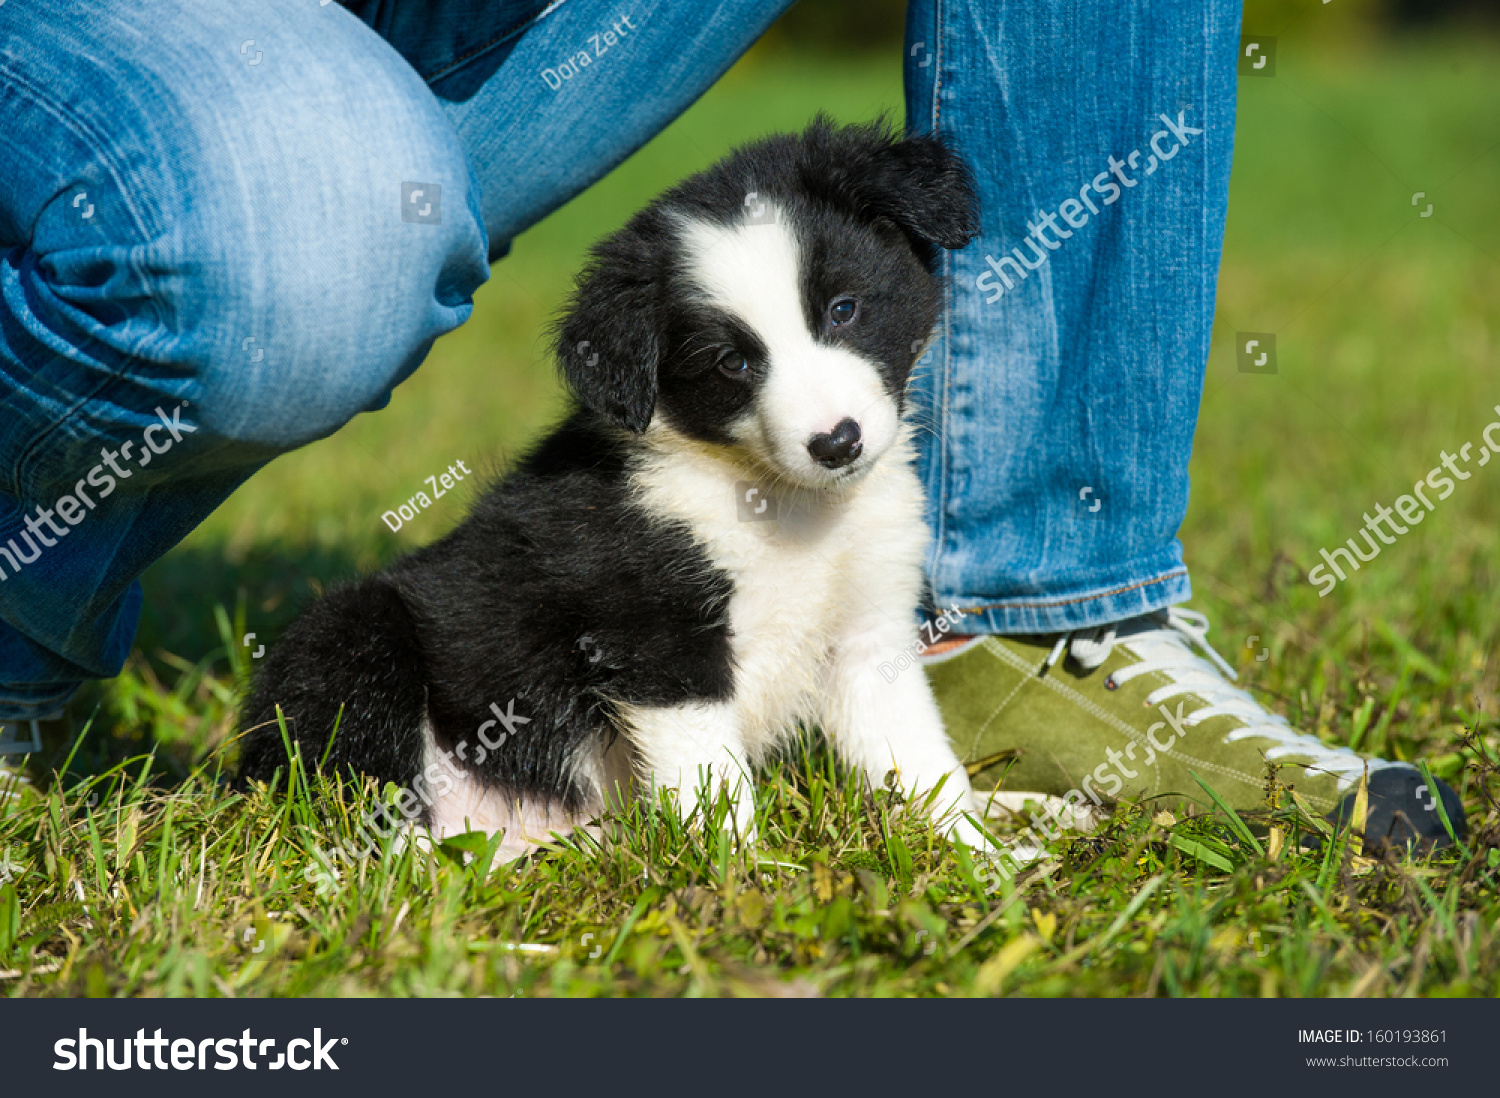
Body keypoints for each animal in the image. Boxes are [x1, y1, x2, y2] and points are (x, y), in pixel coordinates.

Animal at [240, 117, 990, 858]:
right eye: (732, 362)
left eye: (844, 309)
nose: (837, 443)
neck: (780, 501)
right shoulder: (657, 641)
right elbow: (710, 779)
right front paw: (740, 873)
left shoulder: (867, 634)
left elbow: (921, 758)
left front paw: (982, 855)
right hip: (348, 640)